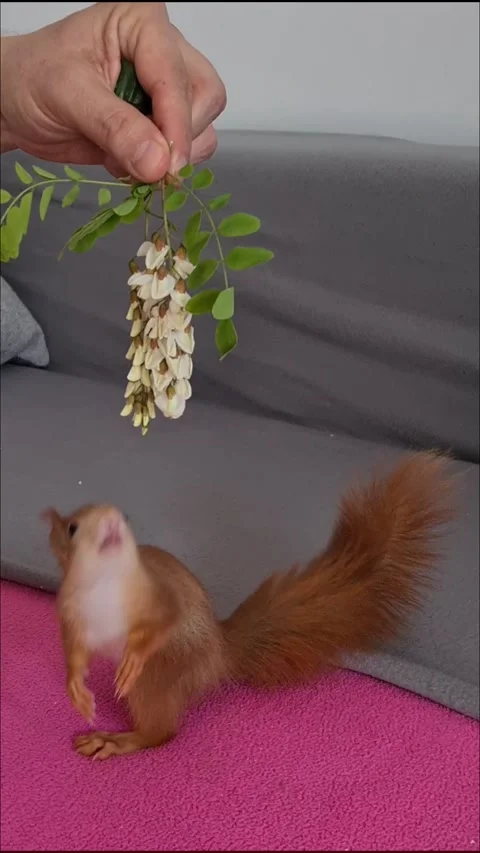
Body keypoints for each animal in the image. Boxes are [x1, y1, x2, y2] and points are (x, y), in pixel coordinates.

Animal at [42, 451, 452, 761]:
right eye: (72, 528)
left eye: (125, 517)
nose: (112, 521)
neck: (103, 585)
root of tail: (219, 651)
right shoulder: (71, 611)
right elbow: (73, 649)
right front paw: (76, 686)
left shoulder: (156, 596)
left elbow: (163, 622)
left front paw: (131, 658)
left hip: (160, 675)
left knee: (160, 731)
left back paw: (116, 739)